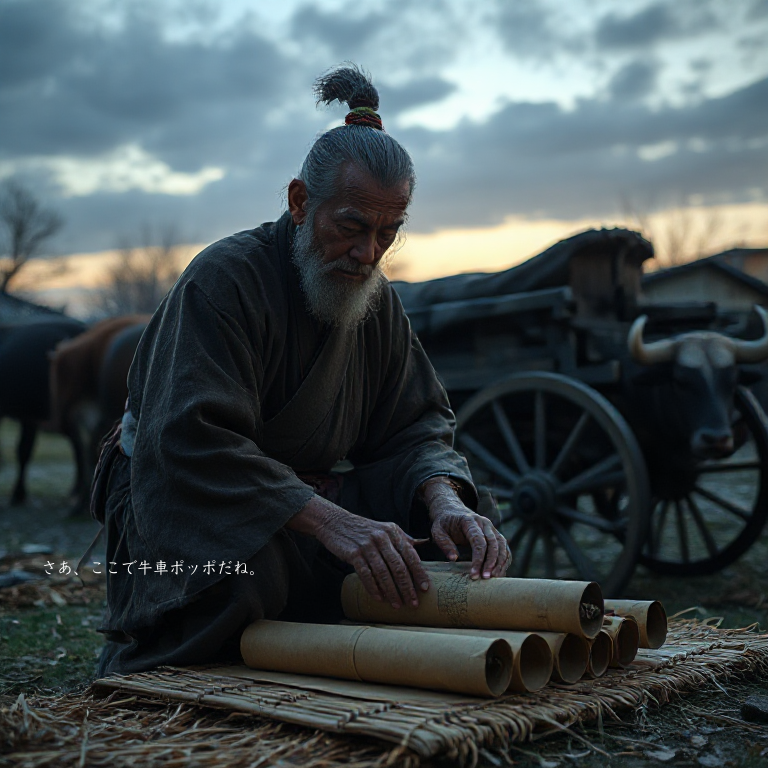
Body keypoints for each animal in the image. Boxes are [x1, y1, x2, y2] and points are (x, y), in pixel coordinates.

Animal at [0, 316, 87, 504]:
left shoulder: (30, 416)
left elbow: (24, 450)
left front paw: (18, 493)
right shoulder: (29, 416)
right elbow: (24, 450)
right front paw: (19, 493)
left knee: (78, 446)